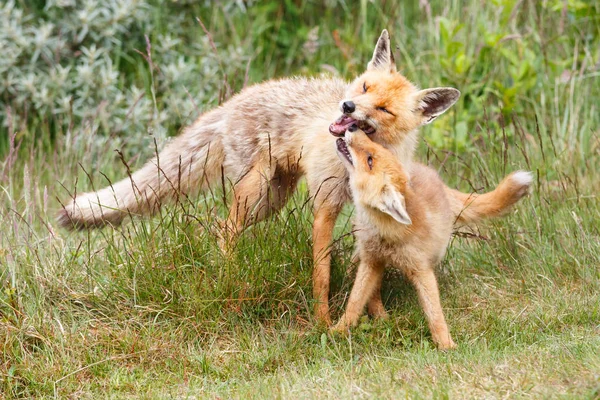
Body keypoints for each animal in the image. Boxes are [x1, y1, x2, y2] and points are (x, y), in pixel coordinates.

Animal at [56, 30, 460, 324]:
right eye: (363, 87)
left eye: (384, 109)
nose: (346, 106)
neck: (357, 161)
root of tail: (231, 102)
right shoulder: (325, 206)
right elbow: (322, 275)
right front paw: (322, 323)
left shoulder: (365, 214)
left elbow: (369, 278)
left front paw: (377, 318)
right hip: (258, 187)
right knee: (224, 230)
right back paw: (231, 282)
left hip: (272, 199)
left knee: (223, 227)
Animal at [330, 126, 532, 348]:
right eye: (372, 154)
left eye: (370, 160)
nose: (353, 127)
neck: (387, 232)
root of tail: (439, 181)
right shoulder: (371, 261)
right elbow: (355, 302)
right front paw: (338, 330)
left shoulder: (421, 270)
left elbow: (435, 314)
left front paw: (446, 345)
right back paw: (380, 315)